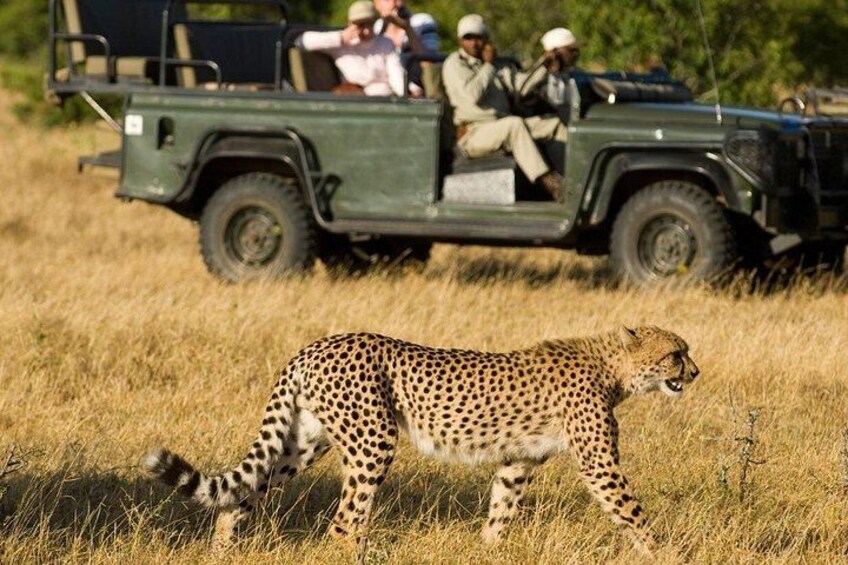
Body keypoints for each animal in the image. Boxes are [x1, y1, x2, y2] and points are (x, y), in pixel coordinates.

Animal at [143, 325, 698, 554]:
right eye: (676, 353)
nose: (695, 372)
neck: (613, 367)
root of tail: (316, 344)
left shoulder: (517, 461)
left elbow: (501, 509)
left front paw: (487, 549)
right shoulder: (599, 464)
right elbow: (632, 512)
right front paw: (667, 553)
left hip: (304, 442)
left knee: (242, 495)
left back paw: (222, 550)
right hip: (373, 439)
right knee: (344, 524)